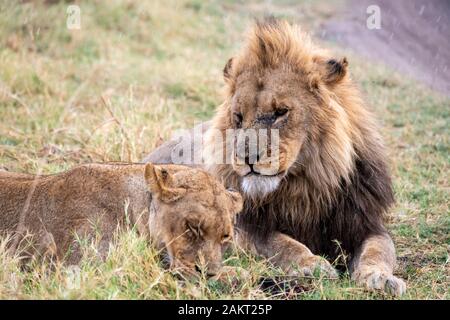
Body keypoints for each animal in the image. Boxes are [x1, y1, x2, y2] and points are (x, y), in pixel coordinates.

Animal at [145, 19, 408, 296]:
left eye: (281, 112)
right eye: (238, 116)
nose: (247, 157)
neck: (306, 186)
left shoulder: (365, 222)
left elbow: (379, 249)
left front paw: (380, 278)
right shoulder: (246, 227)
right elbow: (281, 243)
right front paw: (312, 264)